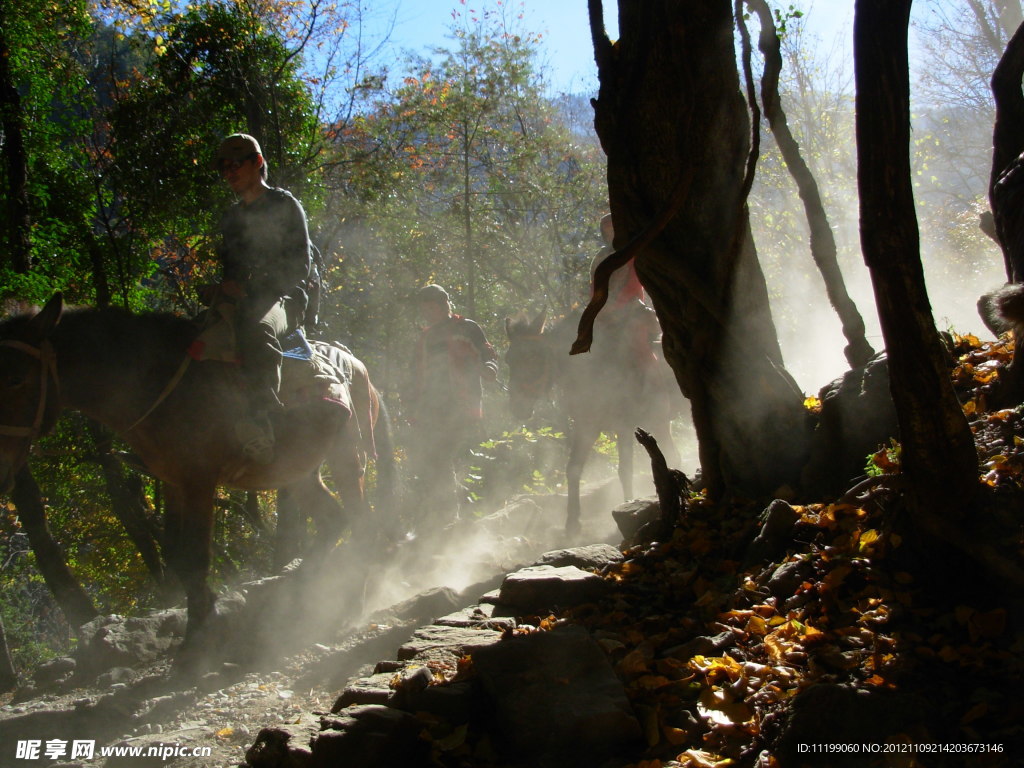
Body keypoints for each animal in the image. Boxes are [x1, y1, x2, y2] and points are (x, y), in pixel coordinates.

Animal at [0, 294, 387, 651]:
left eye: (15, 378)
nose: (3, 473)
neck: (154, 386)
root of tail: (359, 366)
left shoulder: (199, 482)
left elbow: (196, 557)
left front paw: (197, 647)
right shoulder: (173, 482)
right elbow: (176, 554)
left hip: (347, 458)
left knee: (363, 525)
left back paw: (350, 608)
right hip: (299, 472)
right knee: (334, 519)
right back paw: (299, 598)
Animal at [505, 309, 679, 536]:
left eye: (535, 356)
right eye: (508, 360)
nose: (517, 407)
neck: (593, 371)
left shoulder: (624, 427)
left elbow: (625, 470)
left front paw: (628, 507)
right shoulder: (586, 428)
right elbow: (573, 469)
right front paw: (572, 523)